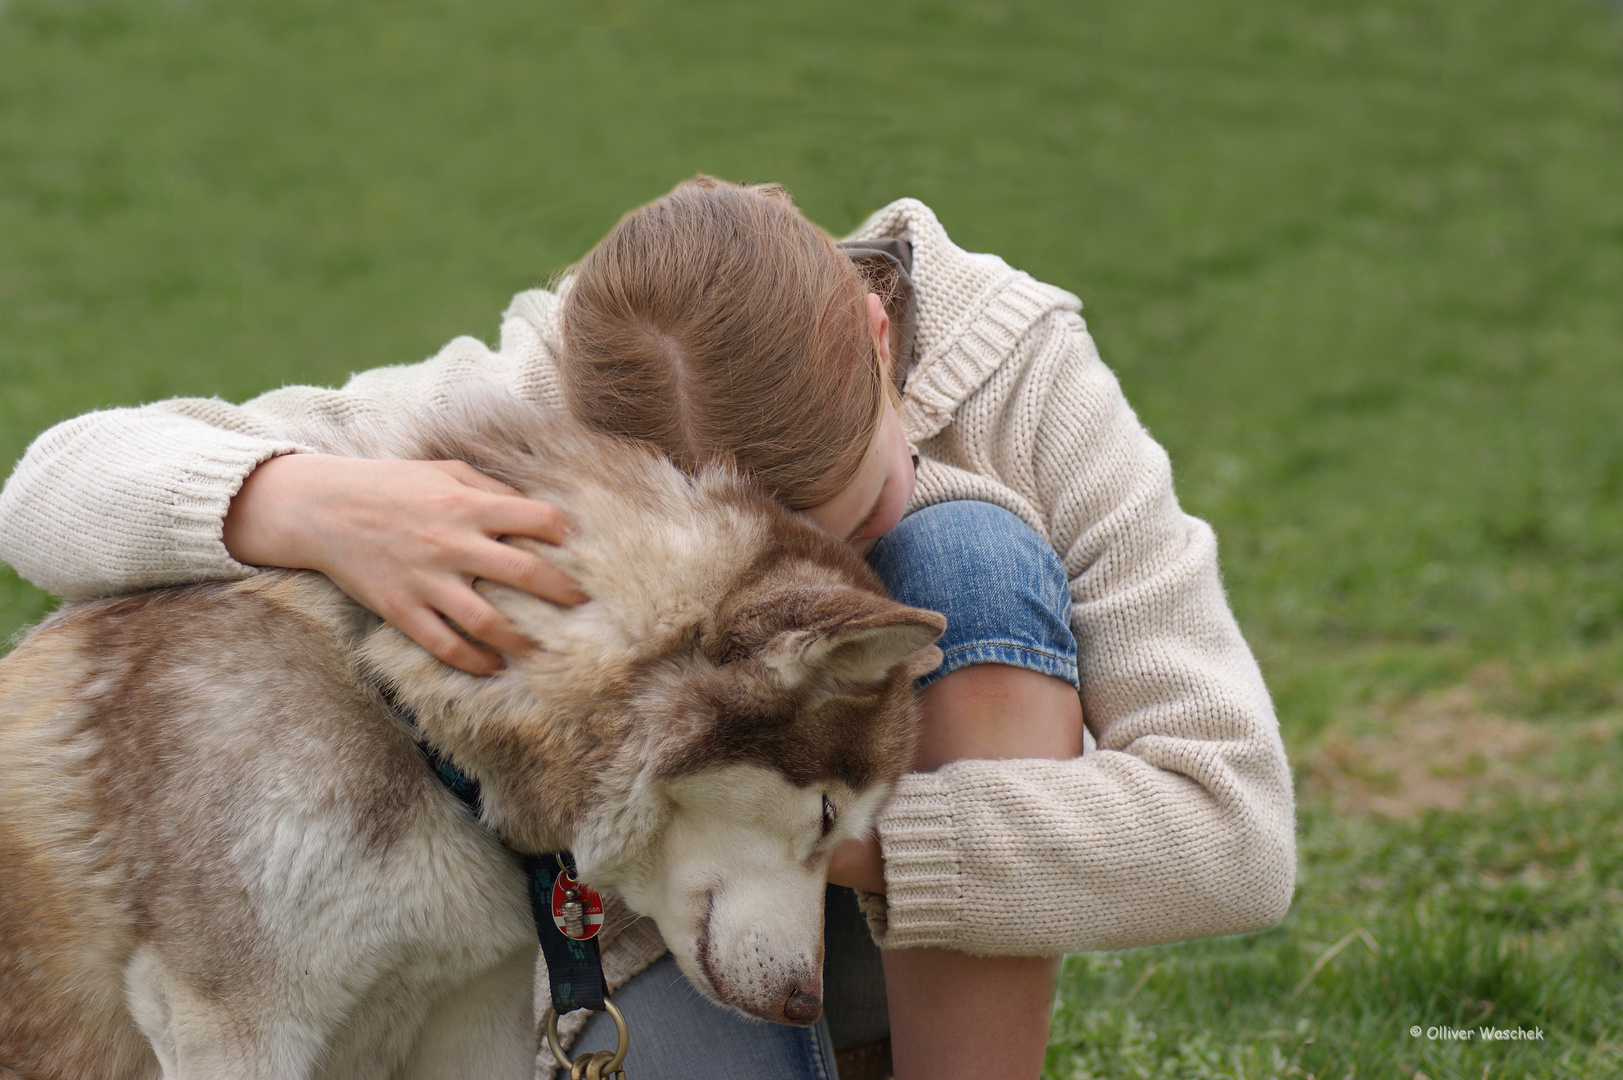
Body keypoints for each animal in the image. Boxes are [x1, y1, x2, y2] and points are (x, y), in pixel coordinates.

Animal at [0, 396, 947, 1078]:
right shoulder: (236, 1027)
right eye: (825, 819)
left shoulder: (474, 1012)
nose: (806, 1004)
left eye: (853, 838)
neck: (416, 731)